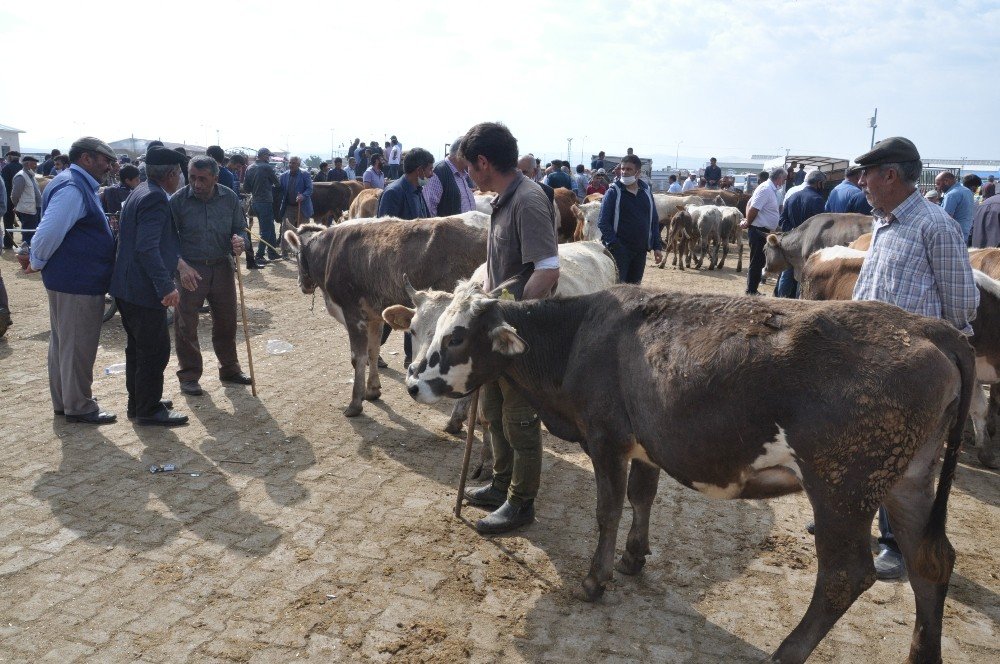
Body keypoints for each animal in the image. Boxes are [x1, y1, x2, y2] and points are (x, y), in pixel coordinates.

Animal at [284, 217, 486, 416]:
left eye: (296, 254)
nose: (302, 284)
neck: (330, 252)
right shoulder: (374, 316)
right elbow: (373, 351)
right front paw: (372, 390)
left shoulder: (353, 315)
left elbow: (358, 357)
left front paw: (355, 404)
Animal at [384, 282, 976, 664]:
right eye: (417, 328)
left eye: (456, 336)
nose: (413, 383)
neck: (578, 336)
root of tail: (928, 326)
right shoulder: (644, 446)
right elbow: (642, 498)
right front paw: (633, 558)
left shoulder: (607, 439)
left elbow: (608, 509)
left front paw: (595, 579)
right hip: (907, 481)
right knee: (931, 562)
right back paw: (922, 654)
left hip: (842, 488)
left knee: (844, 576)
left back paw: (785, 654)